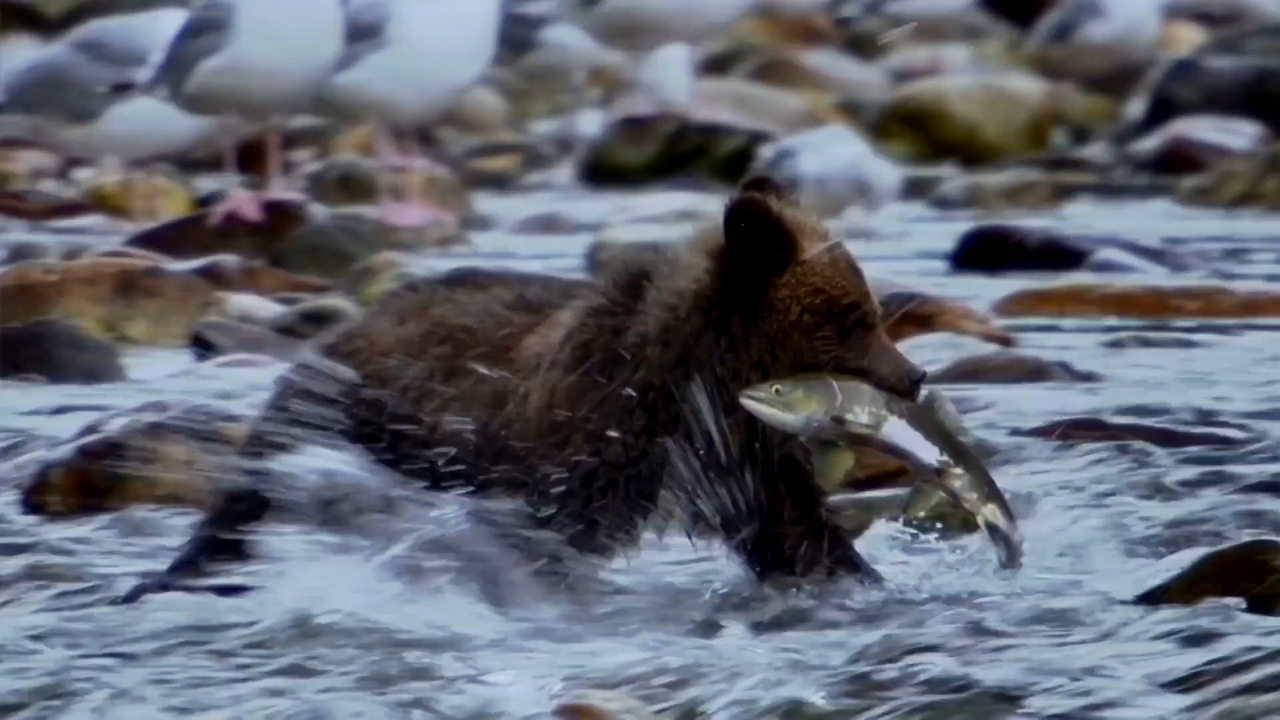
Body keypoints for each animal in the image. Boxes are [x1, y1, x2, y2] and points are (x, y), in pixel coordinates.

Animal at [115, 176, 926, 602]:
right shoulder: (596, 442)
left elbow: (799, 537)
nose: (915, 376)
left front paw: (863, 583)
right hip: (339, 431)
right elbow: (551, 538)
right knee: (250, 506)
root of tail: (334, 338)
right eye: (854, 318)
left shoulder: (746, 461)